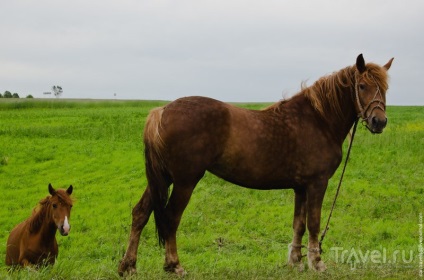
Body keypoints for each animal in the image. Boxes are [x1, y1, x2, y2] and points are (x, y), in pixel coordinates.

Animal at [117, 53, 392, 274]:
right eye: (362, 86)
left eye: (385, 88)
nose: (379, 122)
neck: (318, 119)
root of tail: (161, 111)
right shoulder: (317, 183)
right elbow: (313, 223)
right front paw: (317, 263)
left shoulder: (301, 187)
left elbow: (299, 224)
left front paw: (296, 261)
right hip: (185, 181)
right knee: (171, 218)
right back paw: (174, 265)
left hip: (162, 179)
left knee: (140, 213)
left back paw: (128, 265)